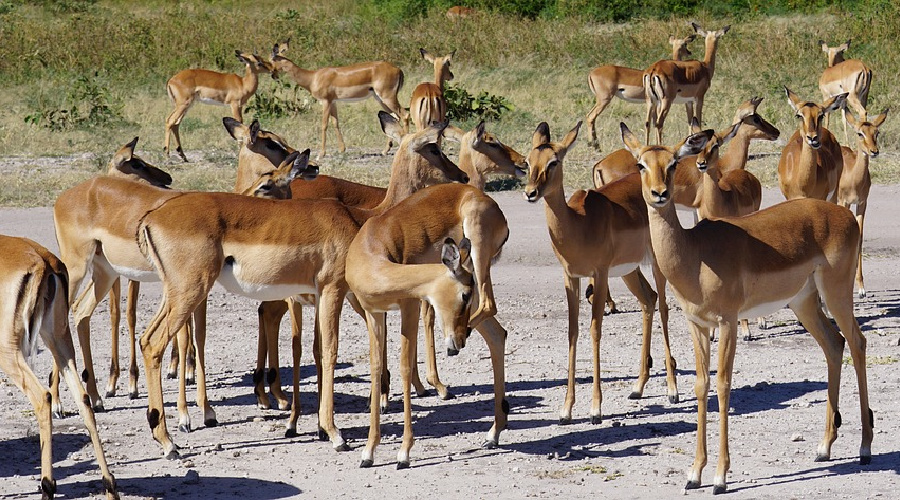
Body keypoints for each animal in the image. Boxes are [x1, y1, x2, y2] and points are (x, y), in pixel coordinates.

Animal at [268, 40, 406, 158]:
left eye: (270, 60)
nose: (272, 75)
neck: (312, 78)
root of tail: (398, 69)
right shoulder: (333, 102)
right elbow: (335, 122)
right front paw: (342, 149)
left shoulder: (326, 101)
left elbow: (324, 124)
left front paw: (321, 154)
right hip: (380, 99)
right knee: (394, 116)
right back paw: (385, 150)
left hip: (387, 97)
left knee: (404, 115)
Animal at [524, 122, 680, 426]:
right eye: (527, 161)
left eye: (554, 161)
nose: (530, 192)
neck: (578, 224)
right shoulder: (571, 277)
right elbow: (572, 331)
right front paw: (566, 410)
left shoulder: (600, 273)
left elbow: (595, 329)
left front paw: (595, 409)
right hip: (629, 271)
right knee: (649, 300)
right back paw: (637, 388)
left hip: (655, 263)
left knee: (665, 308)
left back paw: (672, 391)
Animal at [624, 123, 872, 494]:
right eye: (641, 164)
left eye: (672, 163)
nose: (659, 194)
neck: (695, 255)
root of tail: (844, 215)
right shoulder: (698, 325)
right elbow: (702, 385)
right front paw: (694, 473)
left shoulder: (727, 322)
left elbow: (724, 385)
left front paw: (720, 477)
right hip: (804, 302)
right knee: (834, 344)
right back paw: (824, 448)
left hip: (836, 293)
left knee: (857, 342)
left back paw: (865, 448)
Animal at [836, 109, 884, 296]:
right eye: (860, 133)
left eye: (876, 132)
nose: (874, 151)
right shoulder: (844, 202)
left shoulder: (862, 203)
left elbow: (861, 237)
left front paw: (862, 287)